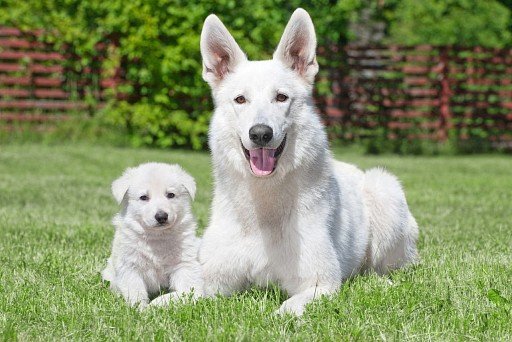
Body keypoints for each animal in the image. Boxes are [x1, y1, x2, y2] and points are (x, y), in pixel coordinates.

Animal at [101, 162, 203, 308]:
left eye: (170, 195)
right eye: (144, 197)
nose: (161, 216)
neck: (157, 237)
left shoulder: (184, 264)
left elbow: (187, 291)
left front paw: (159, 303)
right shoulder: (129, 265)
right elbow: (135, 290)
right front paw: (140, 309)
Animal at [198, 8, 418, 316]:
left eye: (281, 97)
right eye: (240, 99)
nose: (261, 133)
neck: (264, 208)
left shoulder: (319, 284)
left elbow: (285, 311)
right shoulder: (209, 282)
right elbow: (171, 298)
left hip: (384, 191)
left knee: (386, 269)